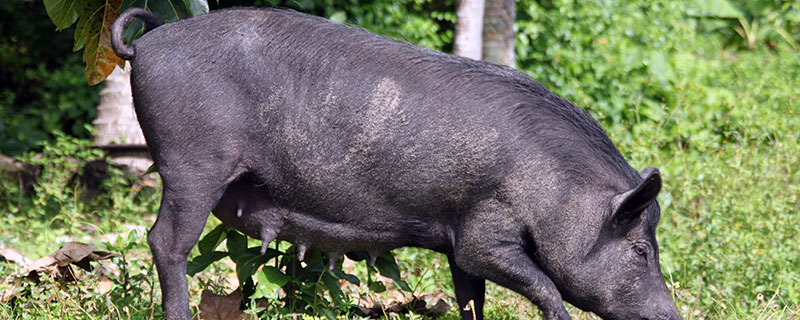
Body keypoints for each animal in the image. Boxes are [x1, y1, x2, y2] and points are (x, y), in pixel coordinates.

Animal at [111, 7, 680, 320]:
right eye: (640, 250)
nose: (670, 315)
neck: (556, 194)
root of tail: (148, 43)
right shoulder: (484, 231)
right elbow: (542, 287)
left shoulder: (456, 240)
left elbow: (471, 297)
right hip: (192, 163)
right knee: (166, 241)